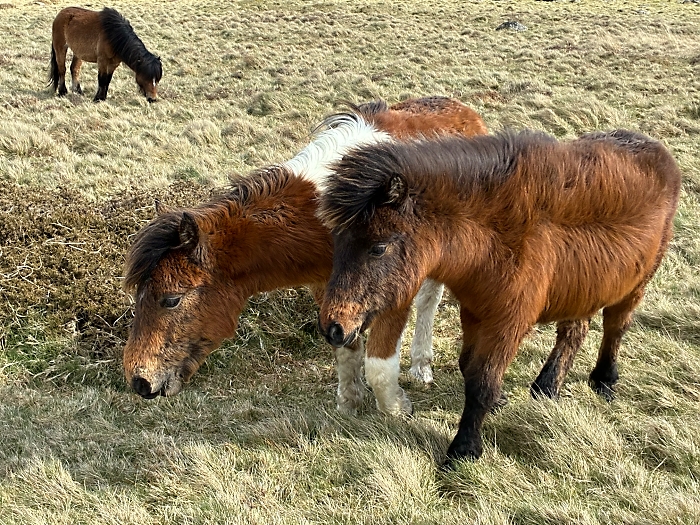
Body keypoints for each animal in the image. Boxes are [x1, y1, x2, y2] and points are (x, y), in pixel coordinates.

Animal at [122, 97, 488, 415]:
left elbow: (379, 364)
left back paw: (421, 366)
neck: (324, 215)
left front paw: (395, 409)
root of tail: (466, 112)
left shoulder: (393, 288)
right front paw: (349, 402)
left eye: (171, 299)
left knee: (429, 301)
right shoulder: (328, 291)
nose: (139, 381)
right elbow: (345, 347)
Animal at [316, 129, 681, 466]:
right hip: (586, 286)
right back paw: (547, 386)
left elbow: (481, 383)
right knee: (574, 332)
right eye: (337, 241)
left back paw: (603, 380)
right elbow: (470, 368)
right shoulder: (474, 311)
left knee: (615, 328)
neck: (499, 240)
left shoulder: (508, 322)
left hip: (636, 285)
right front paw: (497, 403)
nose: (333, 327)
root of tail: (658, 151)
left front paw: (464, 450)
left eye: (378, 248)